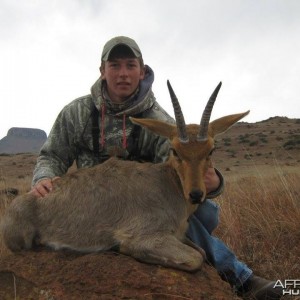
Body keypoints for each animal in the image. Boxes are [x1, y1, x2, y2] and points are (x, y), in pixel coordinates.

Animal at [0, 81, 248, 274]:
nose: (196, 194)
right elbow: (196, 258)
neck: (169, 184)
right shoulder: (145, 235)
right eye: (175, 150)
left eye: (211, 150)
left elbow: (202, 251)